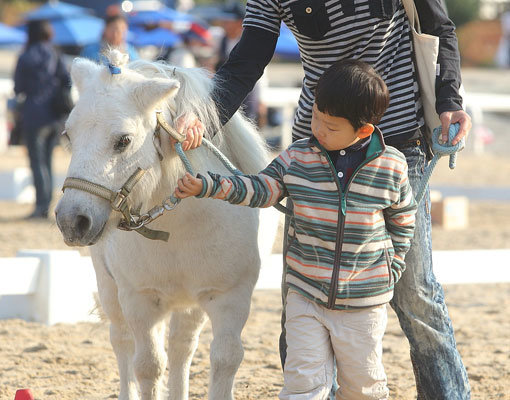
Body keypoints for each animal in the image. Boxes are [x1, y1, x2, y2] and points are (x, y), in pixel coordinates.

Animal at [55, 50, 268, 400]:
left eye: (123, 141)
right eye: (68, 135)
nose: (72, 220)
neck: (181, 226)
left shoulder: (229, 298)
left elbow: (225, 359)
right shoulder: (140, 300)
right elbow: (148, 365)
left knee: (183, 346)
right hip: (110, 288)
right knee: (122, 342)